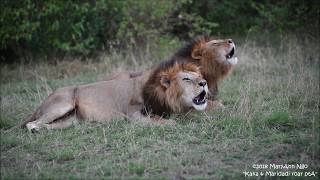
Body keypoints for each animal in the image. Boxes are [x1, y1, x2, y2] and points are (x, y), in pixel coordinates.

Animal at [10, 62, 208, 131]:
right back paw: (35, 129)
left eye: (199, 76)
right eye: (186, 78)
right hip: (63, 103)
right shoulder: (134, 115)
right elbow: (165, 121)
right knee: (31, 124)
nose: (204, 82)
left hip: (71, 120)